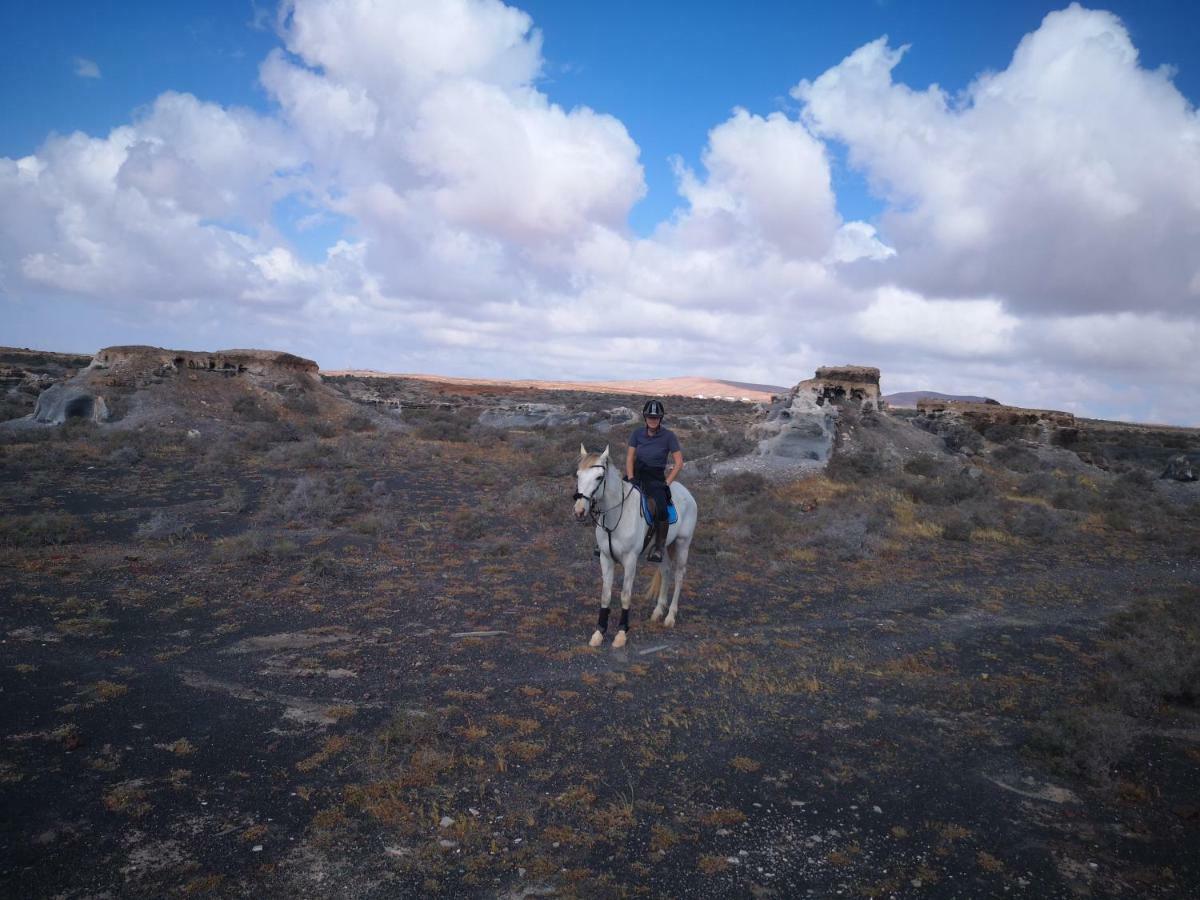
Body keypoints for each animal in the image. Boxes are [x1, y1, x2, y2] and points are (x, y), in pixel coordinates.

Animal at [573, 446, 700, 648]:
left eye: (599, 477)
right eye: (578, 475)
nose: (579, 510)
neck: (617, 515)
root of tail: (686, 492)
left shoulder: (630, 560)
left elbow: (625, 596)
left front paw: (621, 633)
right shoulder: (605, 559)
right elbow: (605, 595)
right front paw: (599, 633)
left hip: (682, 544)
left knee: (679, 576)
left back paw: (670, 617)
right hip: (663, 548)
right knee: (666, 572)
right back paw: (657, 612)